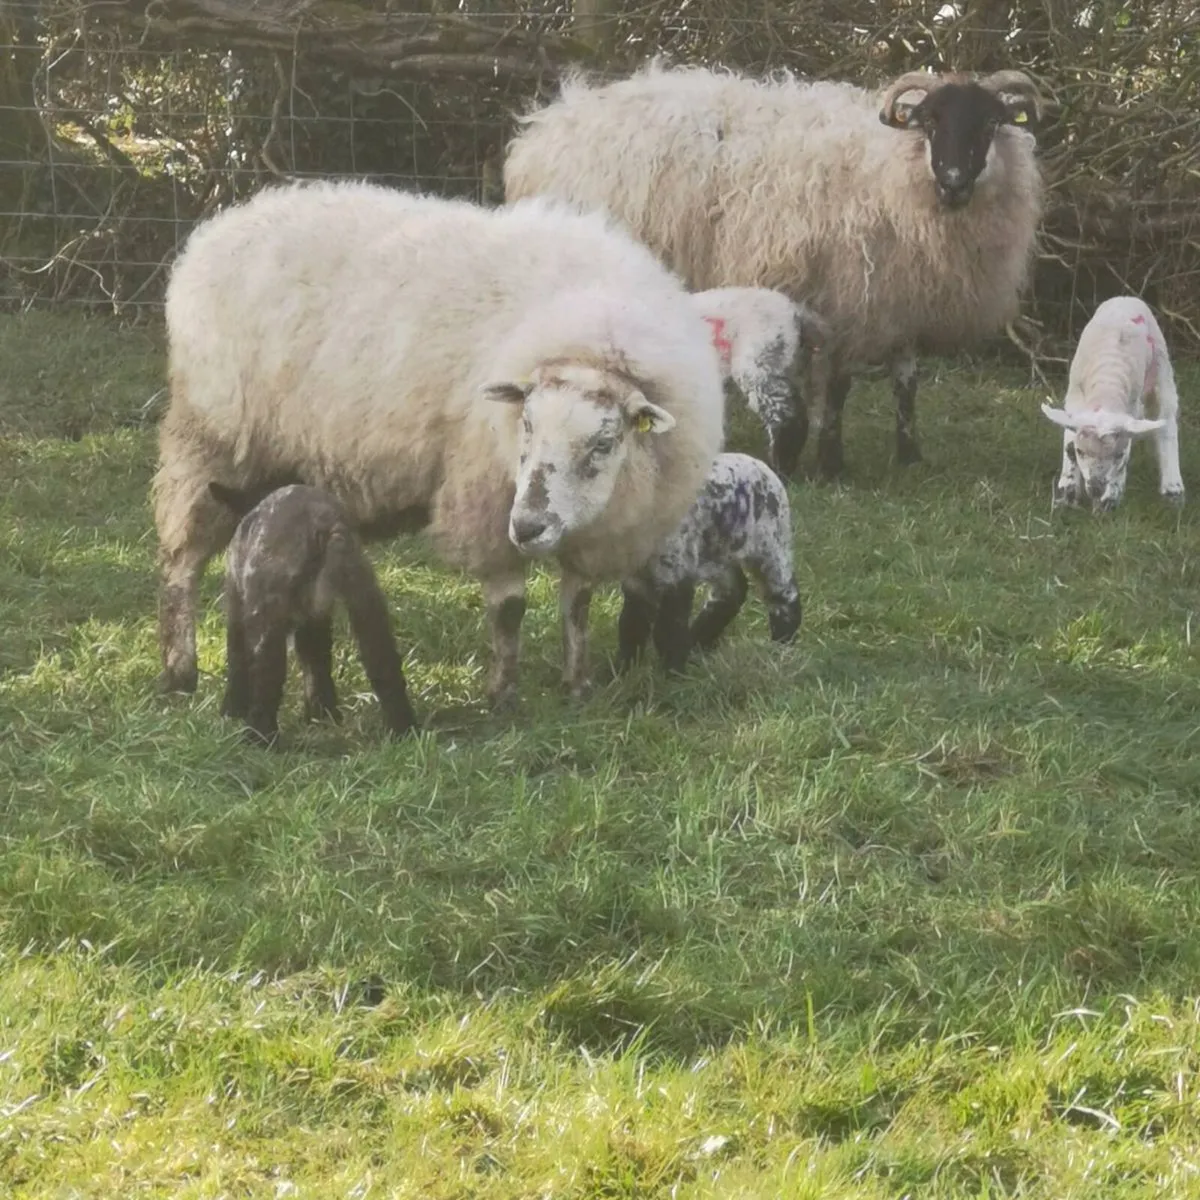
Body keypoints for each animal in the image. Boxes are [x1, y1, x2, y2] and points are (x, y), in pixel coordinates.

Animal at [153, 180, 725, 709]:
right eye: (526, 424)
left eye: (605, 442)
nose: (529, 526)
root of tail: (215, 233)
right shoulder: (485, 499)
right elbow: (509, 608)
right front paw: (503, 695)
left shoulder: (594, 531)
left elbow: (577, 606)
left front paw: (577, 685)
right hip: (209, 444)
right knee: (183, 561)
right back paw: (181, 673)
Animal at [207, 481, 417, 747]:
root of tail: (322, 526)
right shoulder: (314, 619)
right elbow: (316, 660)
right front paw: (321, 713)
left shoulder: (237, 603)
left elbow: (236, 657)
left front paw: (231, 711)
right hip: (362, 591)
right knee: (381, 658)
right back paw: (403, 729)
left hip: (267, 609)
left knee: (268, 671)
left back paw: (258, 737)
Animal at [618, 452, 801, 673]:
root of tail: (761, 464)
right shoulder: (635, 582)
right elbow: (631, 626)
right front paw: (618, 672)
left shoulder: (677, 573)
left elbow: (669, 632)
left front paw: (673, 674)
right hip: (719, 553)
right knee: (732, 591)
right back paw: (698, 641)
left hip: (772, 543)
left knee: (783, 595)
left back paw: (782, 648)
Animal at [1041, 296, 1183, 513]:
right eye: (1080, 452)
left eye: (1118, 455)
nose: (1096, 489)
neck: (1106, 386)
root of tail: (1127, 298)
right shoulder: (1074, 398)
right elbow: (1068, 437)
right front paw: (1068, 490)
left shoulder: (1131, 409)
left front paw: (1109, 499)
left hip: (1162, 366)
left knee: (1166, 422)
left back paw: (1173, 488)